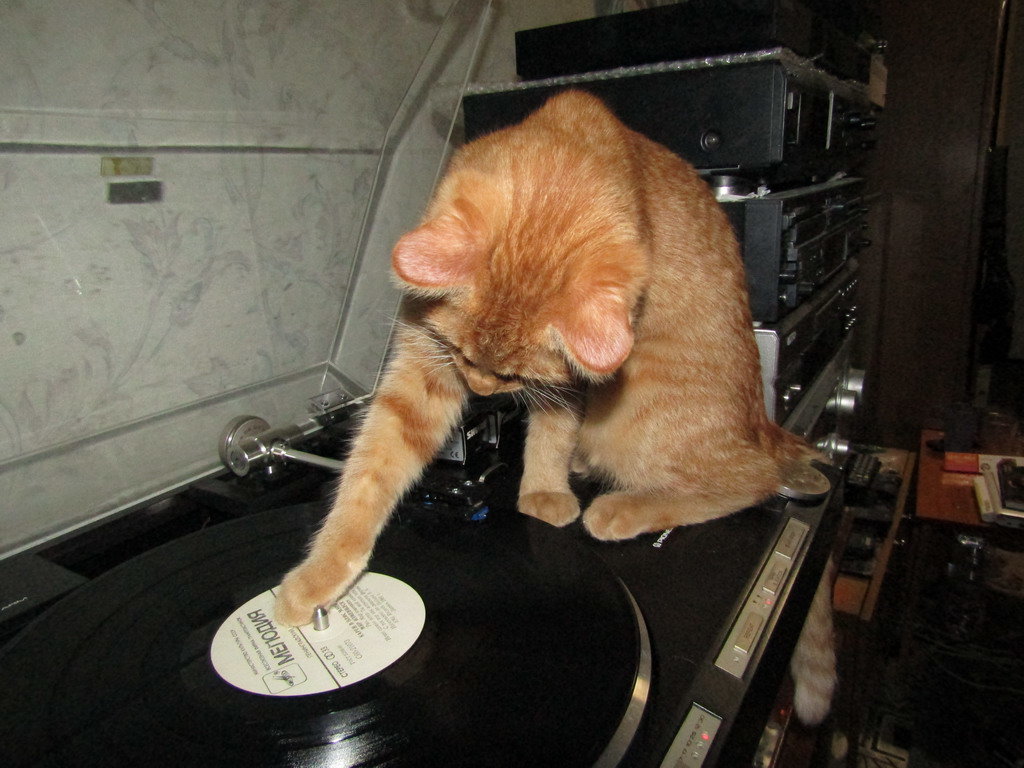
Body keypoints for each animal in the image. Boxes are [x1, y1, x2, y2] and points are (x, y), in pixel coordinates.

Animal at [274, 89, 812, 628]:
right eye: (461, 355)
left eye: (512, 375)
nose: (480, 391)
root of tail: (763, 426)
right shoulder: (423, 367)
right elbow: (371, 472)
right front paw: (321, 573)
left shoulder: (569, 382)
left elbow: (552, 433)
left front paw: (543, 489)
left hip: (637, 423)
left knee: (753, 480)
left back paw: (625, 507)